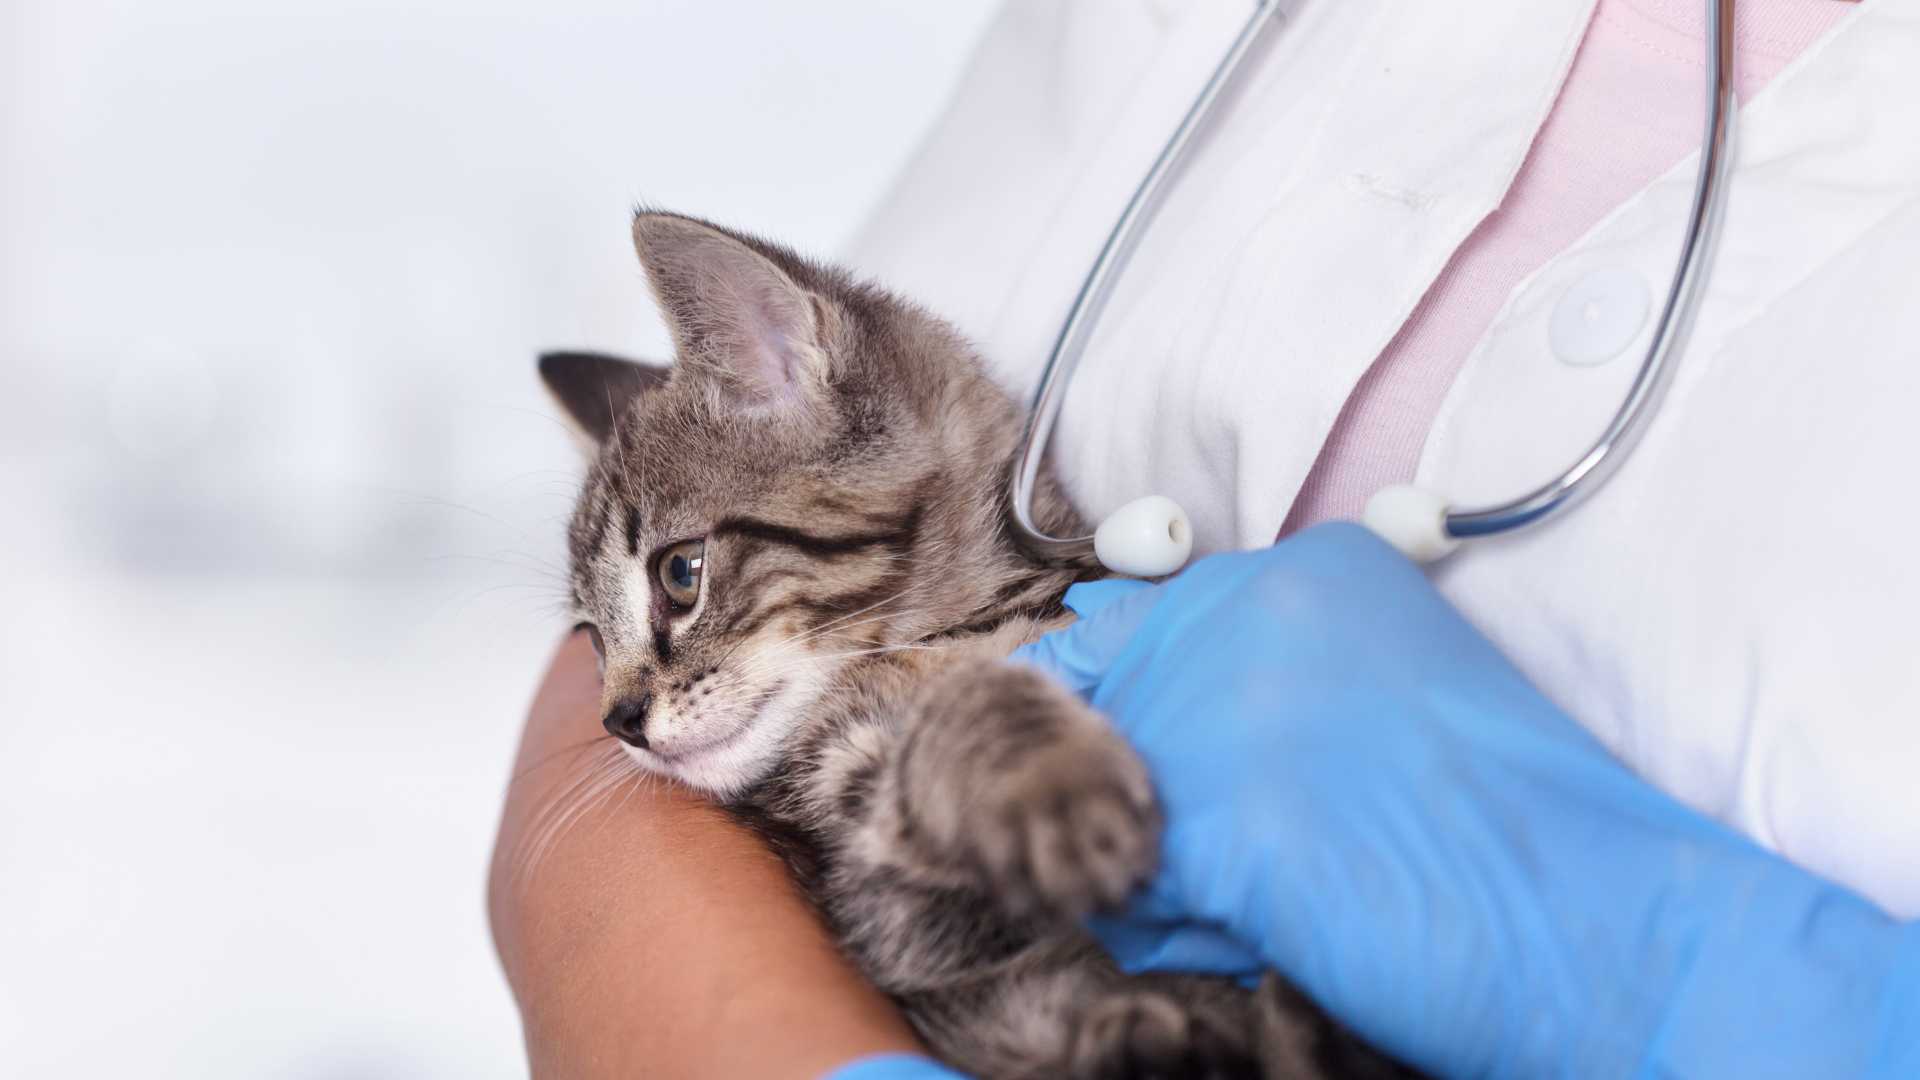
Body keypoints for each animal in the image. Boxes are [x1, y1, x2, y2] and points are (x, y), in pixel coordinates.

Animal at [541, 212, 1413, 1076]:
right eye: (592, 639)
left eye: (680, 574)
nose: (618, 720)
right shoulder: (885, 908)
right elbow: (970, 710)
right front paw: (1053, 783)